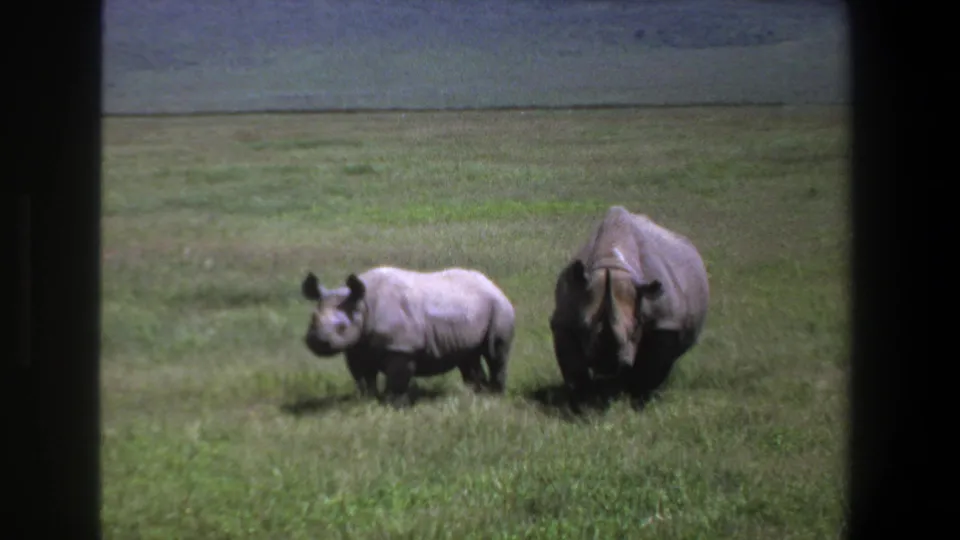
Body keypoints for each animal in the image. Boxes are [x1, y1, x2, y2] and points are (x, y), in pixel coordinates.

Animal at [300, 266, 516, 408]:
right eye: (312, 320)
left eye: (342, 327)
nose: (317, 342)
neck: (363, 305)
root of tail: (493, 284)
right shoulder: (357, 347)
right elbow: (362, 378)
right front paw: (367, 401)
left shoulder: (401, 347)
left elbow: (397, 379)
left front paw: (393, 405)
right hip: (468, 311)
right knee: (468, 356)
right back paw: (476, 395)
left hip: (499, 307)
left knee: (495, 353)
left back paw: (494, 397)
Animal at [549, 206, 709, 407]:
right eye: (584, 326)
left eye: (635, 327)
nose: (607, 363)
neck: (612, 262)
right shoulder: (565, 318)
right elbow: (574, 367)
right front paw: (582, 403)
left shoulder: (666, 323)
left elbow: (652, 367)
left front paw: (640, 400)